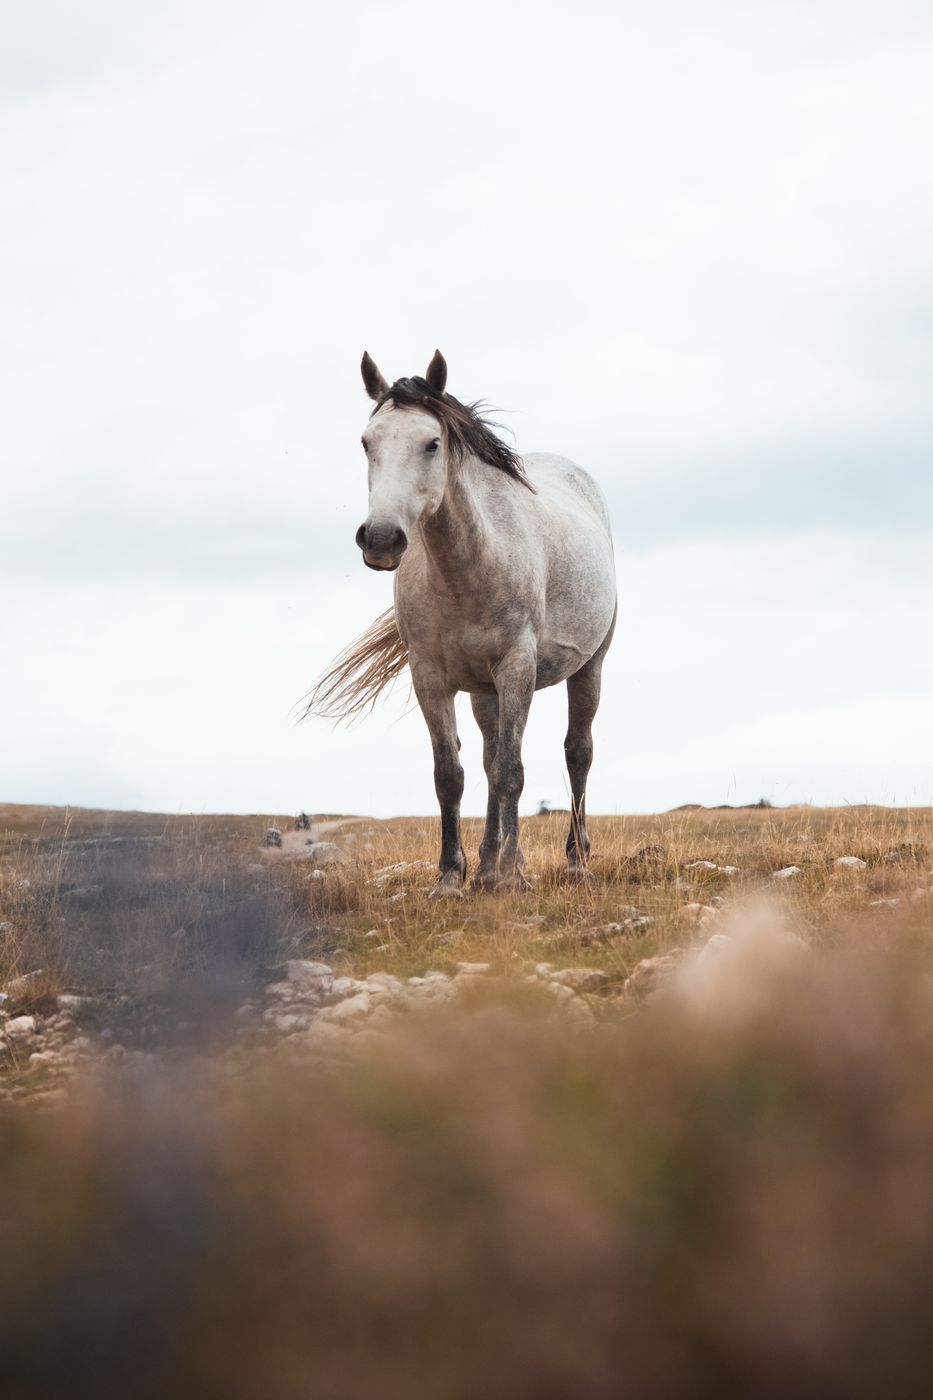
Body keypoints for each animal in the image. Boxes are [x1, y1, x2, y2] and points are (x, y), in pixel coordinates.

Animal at [308, 350, 617, 894]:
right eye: (367, 442)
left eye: (432, 443)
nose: (381, 539)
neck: (468, 565)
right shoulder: (430, 675)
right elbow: (451, 774)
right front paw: (453, 875)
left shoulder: (516, 667)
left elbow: (513, 769)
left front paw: (512, 875)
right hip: (481, 691)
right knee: (489, 760)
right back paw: (487, 866)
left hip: (588, 667)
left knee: (576, 752)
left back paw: (573, 861)